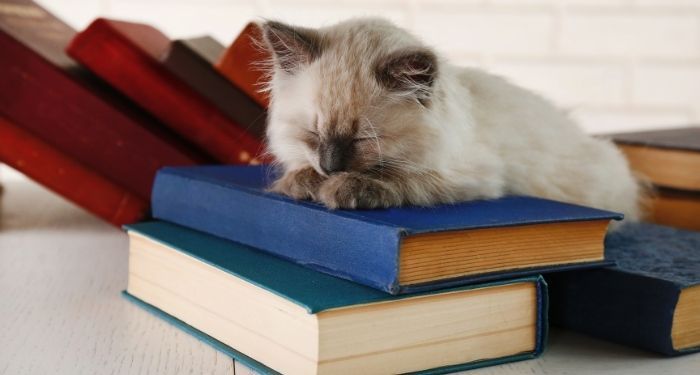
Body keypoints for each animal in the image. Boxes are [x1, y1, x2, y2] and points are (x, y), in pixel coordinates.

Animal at [262, 17, 644, 222]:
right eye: (312, 134)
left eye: (361, 140)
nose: (330, 166)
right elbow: (299, 172)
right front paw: (303, 181)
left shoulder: (476, 176)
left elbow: (401, 178)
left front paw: (342, 188)